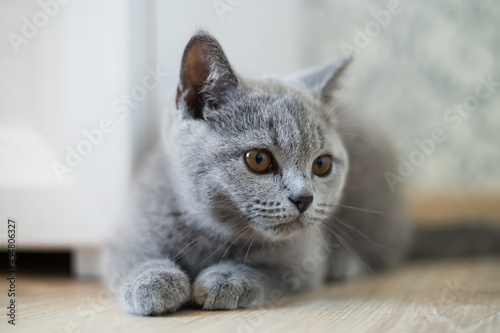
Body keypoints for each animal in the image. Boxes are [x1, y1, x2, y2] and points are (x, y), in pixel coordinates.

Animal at [102, 29, 500, 316]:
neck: (213, 235)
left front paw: (226, 280)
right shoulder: (128, 232)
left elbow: (268, 271)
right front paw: (154, 283)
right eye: (258, 159)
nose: (303, 198)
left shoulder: (302, 260)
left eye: (321, 165)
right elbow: (128, 259)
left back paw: (345, 263)